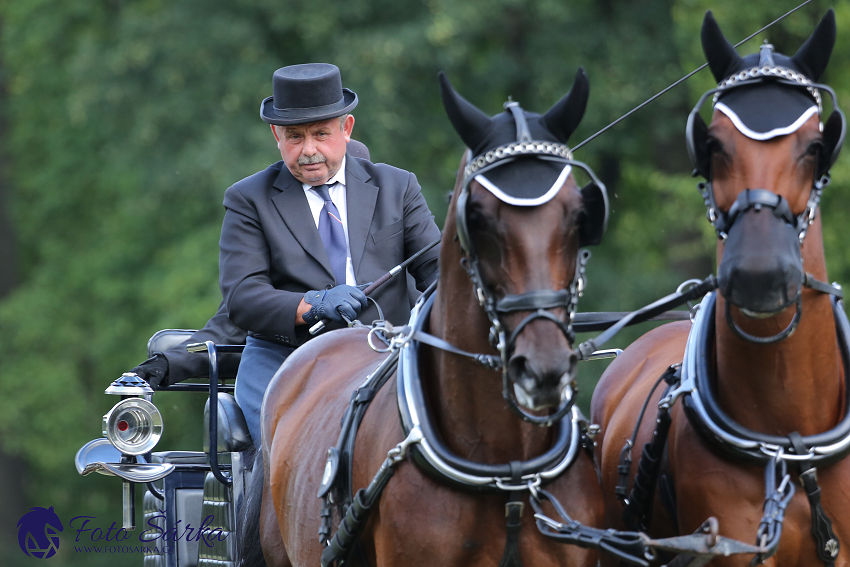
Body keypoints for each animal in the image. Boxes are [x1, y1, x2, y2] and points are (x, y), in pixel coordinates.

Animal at [240, 70, 608, 567]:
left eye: (578, 213)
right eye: (477, 217)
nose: (543, 366)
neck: (504, 465)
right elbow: (248, 286)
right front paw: (332, 299)